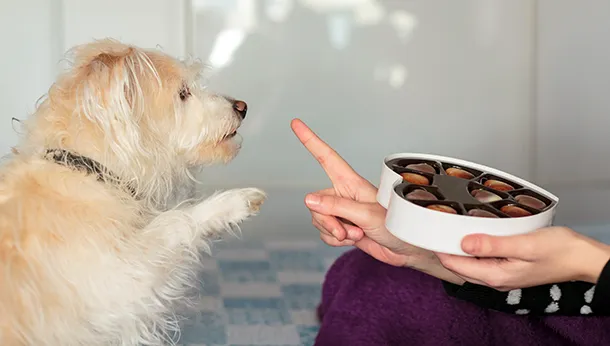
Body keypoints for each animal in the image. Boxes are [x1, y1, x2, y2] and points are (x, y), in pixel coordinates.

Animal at [0, 39, 266, 346]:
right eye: (183, 93)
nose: (242, 106)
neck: (88, 171)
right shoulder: (122, 280)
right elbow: (174, 222)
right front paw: (233, 202)